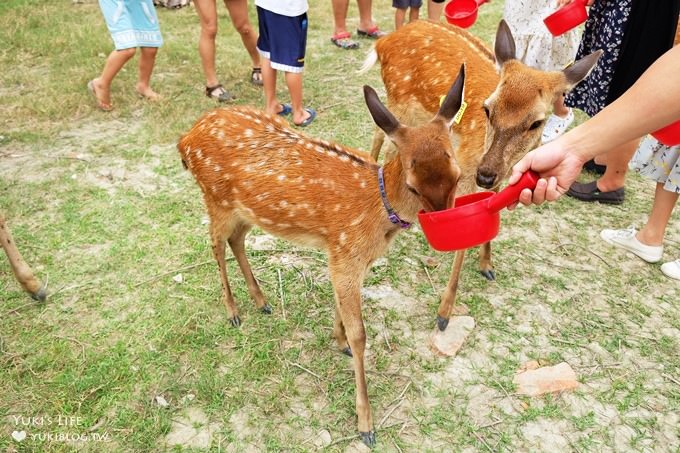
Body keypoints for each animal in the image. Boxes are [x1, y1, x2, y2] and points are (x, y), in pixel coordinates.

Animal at [179, 69, 468, 446]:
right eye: (413, 185)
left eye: (458, 176)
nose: (446, 223)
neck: (378, 210)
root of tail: (184, 140)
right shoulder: (345, 252)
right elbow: (361, 334)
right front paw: (366, 424)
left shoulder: (344, 255)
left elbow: (341, 308)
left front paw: (338, 340)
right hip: (215, 198)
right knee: (214, 243)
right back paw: (233, 312)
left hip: (243, 211)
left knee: (235, 240)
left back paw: (262, 301)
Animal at [362, 19, 600, 330]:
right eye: (487, 109)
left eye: (536, 123)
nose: (485, 175)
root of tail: (383, 42)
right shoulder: (463, 170)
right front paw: (444, 312)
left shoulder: (503, 174)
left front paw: (487, 265)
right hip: (398, 100)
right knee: (382, 134)